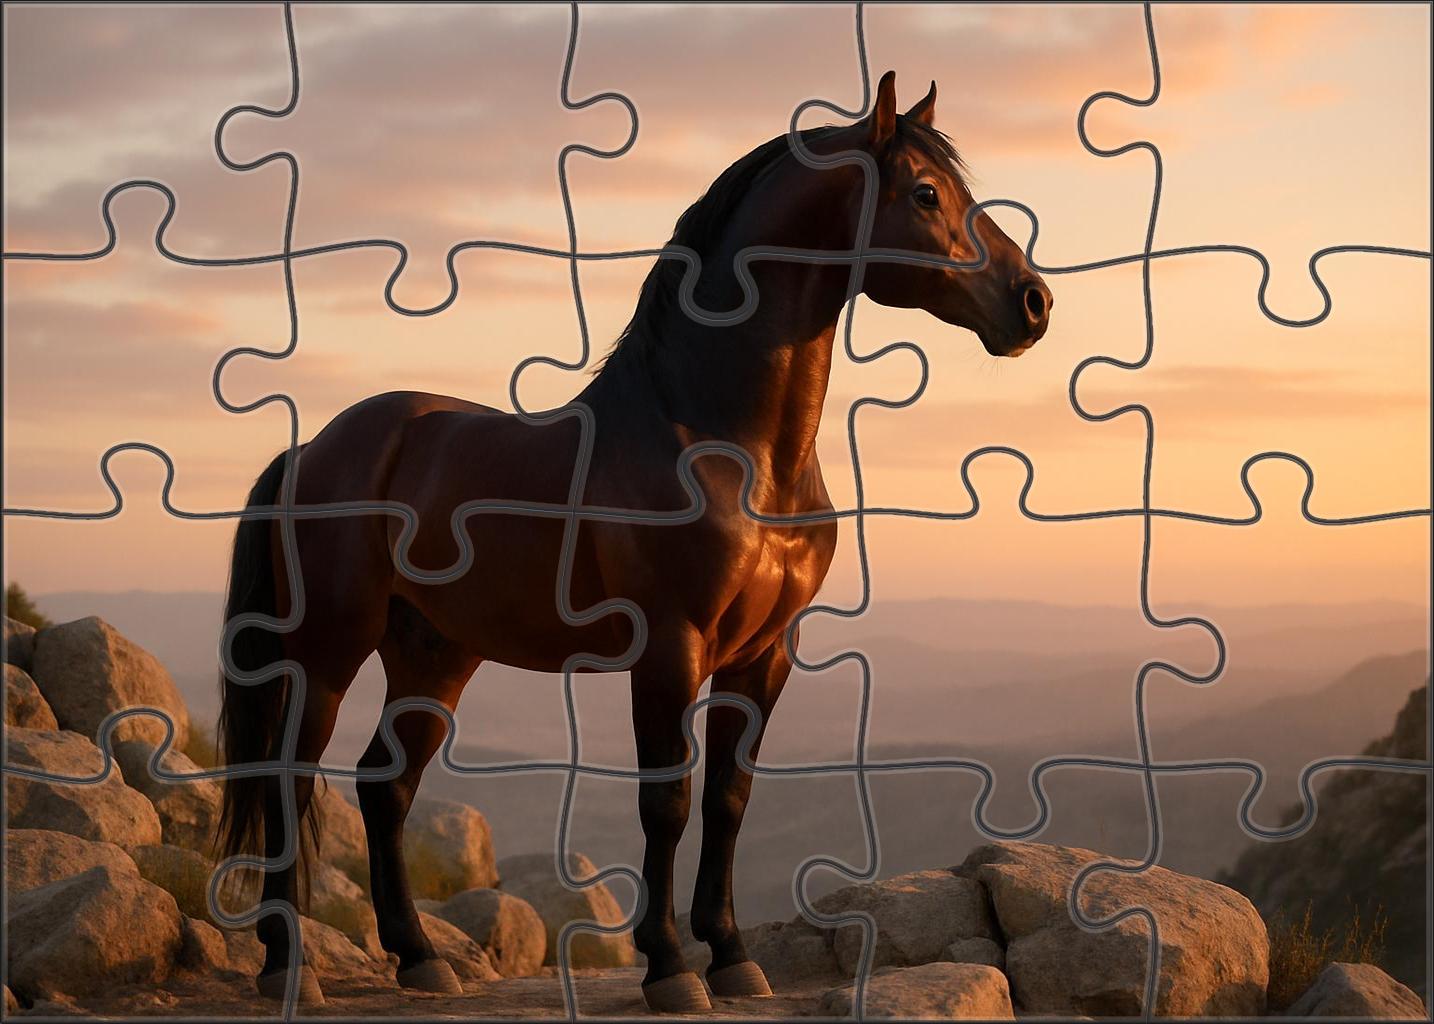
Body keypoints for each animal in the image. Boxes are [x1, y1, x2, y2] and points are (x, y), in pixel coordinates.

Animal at [215, 70, 1051, 1012]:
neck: (725, 442)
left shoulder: (764, 654)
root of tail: (313, 449)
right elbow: (669, 803)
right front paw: (671, 969)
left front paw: (732, 958)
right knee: (289, 779)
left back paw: (419, 957)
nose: (1033, 302)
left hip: (434, 655)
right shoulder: (670, 647)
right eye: (926, 193)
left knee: (383, 787)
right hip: (330, 647)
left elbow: (728, 799)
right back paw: (288, 964)